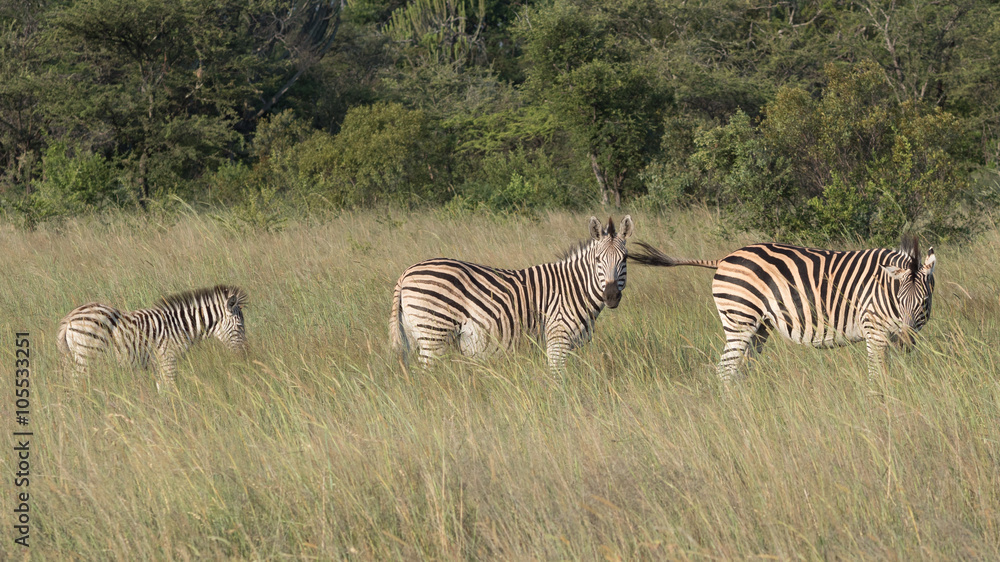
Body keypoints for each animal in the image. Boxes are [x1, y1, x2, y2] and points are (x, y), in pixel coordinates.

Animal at [57, 285, 248, 391]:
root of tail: (69, 318)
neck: (180, 327)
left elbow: (161, 389)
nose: (244, 356)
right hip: (87, 356)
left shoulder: (158, 364)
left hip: (73, 357)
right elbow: (171, 389)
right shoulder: (168, 359)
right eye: (240, 327)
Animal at [390, 216, 634, 371]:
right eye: (598, 259)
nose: (611, 296)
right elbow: (558, 379)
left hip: (414, 335)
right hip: (434, 334)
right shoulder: (558, 337)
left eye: (625, 259)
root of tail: (406, 273)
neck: (574, 288)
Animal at [629, 236, 936, 381]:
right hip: (739, 319)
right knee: (725, 369)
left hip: (758, 327)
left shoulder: (896, 333)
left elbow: (892, 370)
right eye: (899, 300)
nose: (908, 341)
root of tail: (724, 258)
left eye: (923, 302)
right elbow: (878, 373)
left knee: (739, 368)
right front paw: (880, 404)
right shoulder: (874, 328)